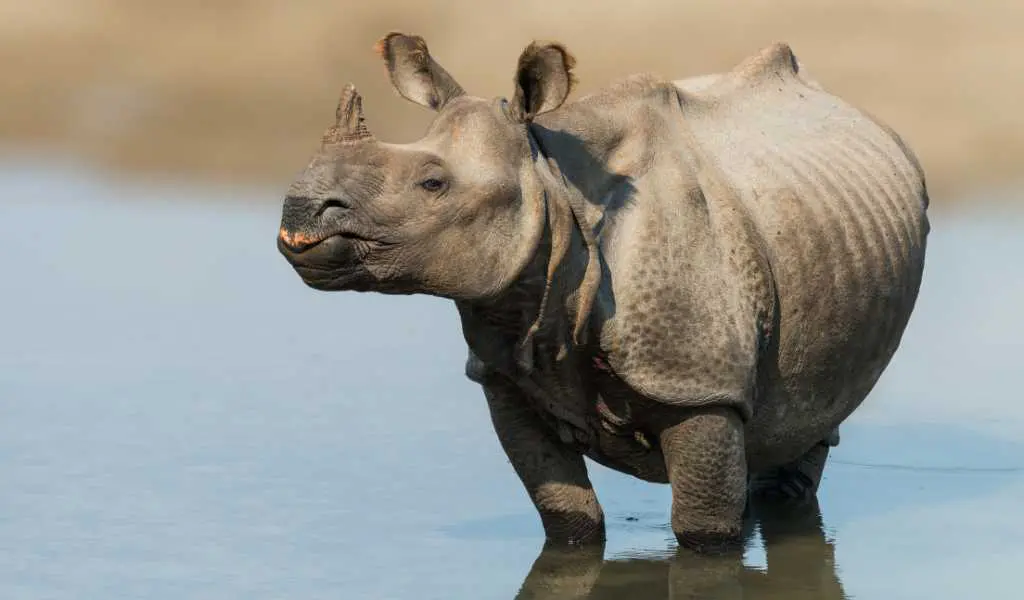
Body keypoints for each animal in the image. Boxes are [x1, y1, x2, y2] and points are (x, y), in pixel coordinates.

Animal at [277, 32, 929, 552]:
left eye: (432, 184)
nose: (299, 209)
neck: (553, 186)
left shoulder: (701, 384)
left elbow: (703, 532)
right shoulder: (505, 374)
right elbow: (568, 518)